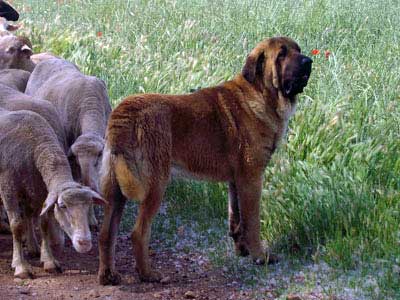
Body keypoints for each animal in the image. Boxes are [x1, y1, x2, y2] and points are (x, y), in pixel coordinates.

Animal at [97, 36, 312, 284]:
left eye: (298, 50)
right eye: (281, 55)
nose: (308, 61)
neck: (261, 93)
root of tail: (122, 116)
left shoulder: (236, 181)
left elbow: (236, 218)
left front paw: (242, 250)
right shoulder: (252, 178)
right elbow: (252, 221)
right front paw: (259, 256)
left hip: (115, 189)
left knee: (106, 234)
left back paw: (108, 275)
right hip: (154, 186)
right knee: (138, 233)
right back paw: (148, 274)